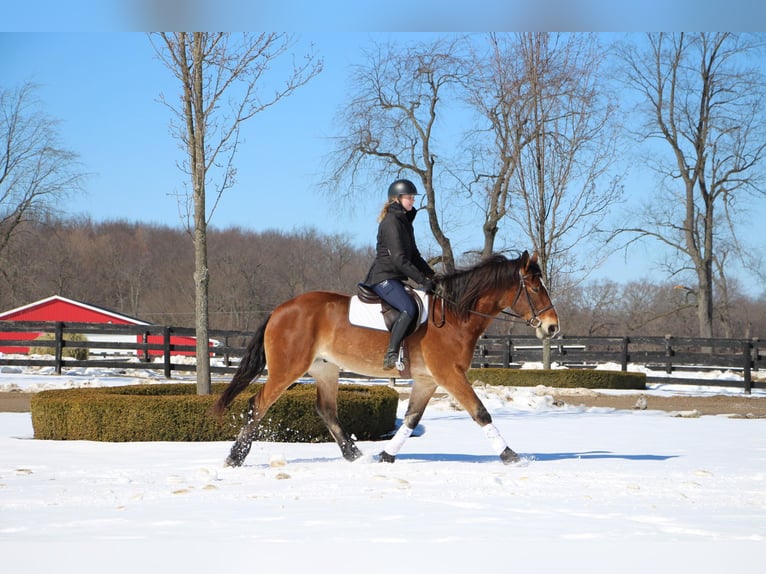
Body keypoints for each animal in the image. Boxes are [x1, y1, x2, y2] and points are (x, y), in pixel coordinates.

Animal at [213, 251, 560, 468]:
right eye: (534, 288)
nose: (552, 327)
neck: (454, 315)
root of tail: (281, 309)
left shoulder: (428, 380)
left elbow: (411, 419)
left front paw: (386, 456)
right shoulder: (449, 374)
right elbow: (480, 412)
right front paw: (511, 455)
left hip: (325, 369)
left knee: (326, 410)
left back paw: (355, 455)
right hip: (288, 369)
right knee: (258, 405)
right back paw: (235, 457)